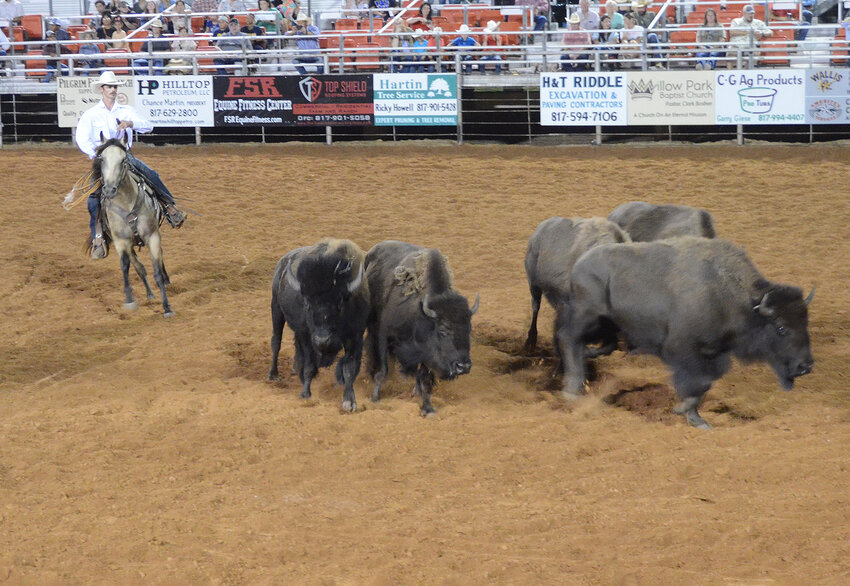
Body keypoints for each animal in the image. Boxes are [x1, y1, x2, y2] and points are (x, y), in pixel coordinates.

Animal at [93, 135, 174, 318]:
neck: (127, 204)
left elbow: (157, 271)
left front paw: (167, 307)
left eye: (123, 160)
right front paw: (130, 300)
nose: (109, 190)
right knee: (139, 267)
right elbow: (126, 266)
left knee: (160, 259)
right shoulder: (121, 240)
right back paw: (149, 294)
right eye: (101, 159)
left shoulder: (152, 236)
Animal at [268, 237, 368, 410]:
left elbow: (349, 368)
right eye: (307, 302)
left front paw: (349, 401)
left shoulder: (355, 335)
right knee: (276, 342)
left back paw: (295, 369)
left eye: (340, 302)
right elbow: (309, 363)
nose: (322, 339)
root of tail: (282, 263)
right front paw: (305, 394)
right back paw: (274, 374)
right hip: (276, 311)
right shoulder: (306, 335)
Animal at [364, 238, 476, 416]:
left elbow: (424, 380)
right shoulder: (383, 337)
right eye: (442, 330)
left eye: (468, 329)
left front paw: (428, 408)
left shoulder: (426, 354)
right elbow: (383, 370)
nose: (463, 366)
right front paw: (374, 398)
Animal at [560, 237, 812, 428]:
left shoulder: (713, 354)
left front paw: (694, 417)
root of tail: (580, 263)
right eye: (781, 327)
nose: (806, 365)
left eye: (805, 322)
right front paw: (685, 411)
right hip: (587, 316)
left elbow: (704, 384)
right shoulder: (683, 351)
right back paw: (572, 391)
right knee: (569, 339)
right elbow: (697, 383)